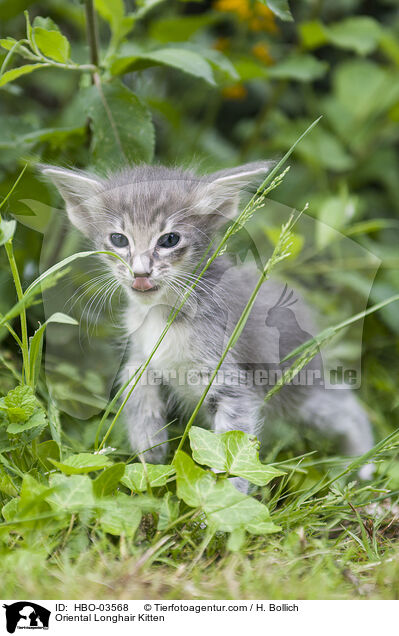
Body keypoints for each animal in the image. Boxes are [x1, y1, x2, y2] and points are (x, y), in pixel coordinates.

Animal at [41, 163, 376, 482]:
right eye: (118, 239)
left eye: (169, 240)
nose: (140, 273)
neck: (163, 315)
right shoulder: (140, 355)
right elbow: (135, 386)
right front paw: (149, 448)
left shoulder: (232, 384)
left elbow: (233, 454)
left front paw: (221, 498)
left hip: (297, 388)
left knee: (346, 404)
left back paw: (362, 465)